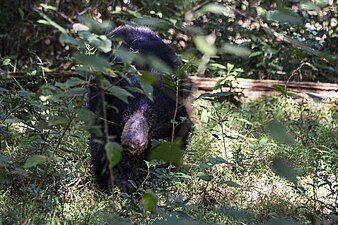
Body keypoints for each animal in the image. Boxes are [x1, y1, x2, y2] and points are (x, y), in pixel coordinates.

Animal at [86, 25, 193, 193]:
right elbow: (103, 140)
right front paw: (118, 184)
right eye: (125, 113)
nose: (132, 143)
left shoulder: (179, 114)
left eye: (152, 117)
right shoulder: (101, 100)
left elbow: (172, 144)